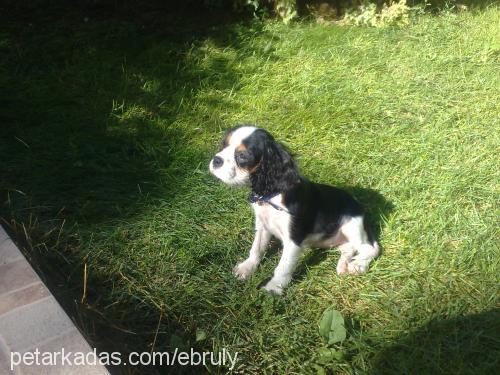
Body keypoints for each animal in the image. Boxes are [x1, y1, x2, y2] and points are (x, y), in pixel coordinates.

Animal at [208, 126, 378, 296]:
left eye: (242, 156)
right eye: (224, 145)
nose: (216, 160)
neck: (273, 195)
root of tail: (361, 209)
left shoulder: (294, 237)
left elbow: (284, 265)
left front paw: (273, 288)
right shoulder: (262, 226)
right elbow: (256, 248)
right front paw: (246, 268)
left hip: (351, 226)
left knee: (372, 249)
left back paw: (358, 265)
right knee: (348, 248)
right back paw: (343, 265)